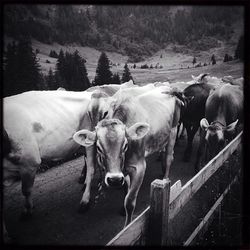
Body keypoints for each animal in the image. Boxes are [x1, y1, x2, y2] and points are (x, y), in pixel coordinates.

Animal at [73, 86, 183, 227]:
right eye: (98, 147)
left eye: (125, 145)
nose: (114, 180)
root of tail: (169, 88)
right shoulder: (123, 171)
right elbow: (126, 187)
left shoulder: (140, 167)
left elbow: (129, 202)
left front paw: (128, 226)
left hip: (173, 131)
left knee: (169, 157)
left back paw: (165, 177)